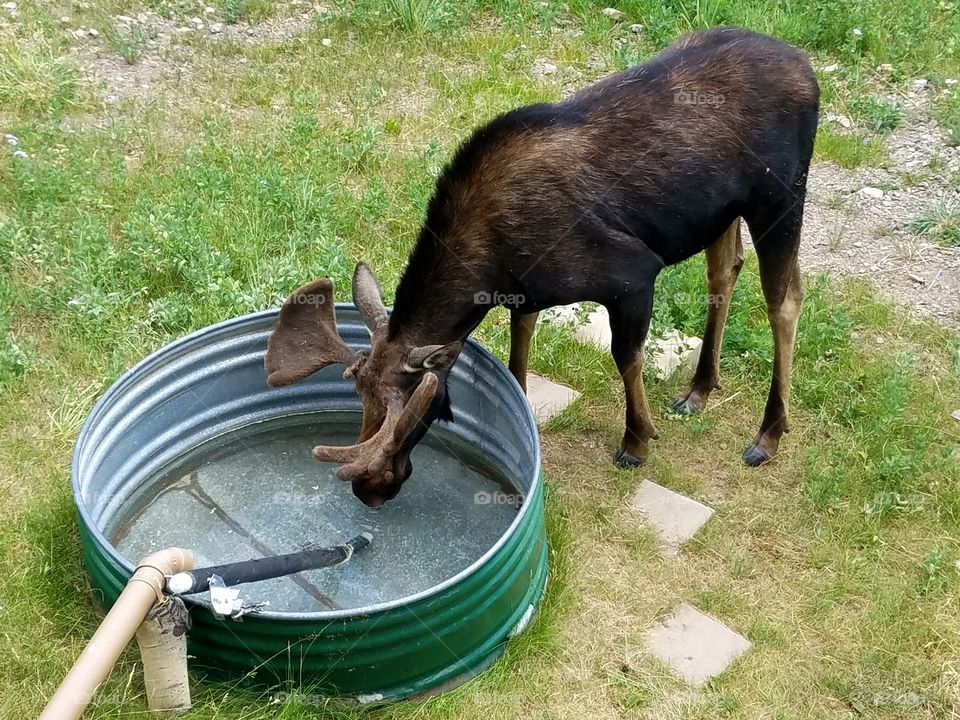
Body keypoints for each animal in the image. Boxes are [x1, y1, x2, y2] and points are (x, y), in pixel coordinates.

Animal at [262, 26, 816, 506]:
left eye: (407, 418)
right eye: (359, 402)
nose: (369, 489)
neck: (488, 270)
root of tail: (806, 65)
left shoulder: (633, 273)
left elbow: (626, 357)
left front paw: (637, 440)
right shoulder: (526, 293)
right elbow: (518, 350)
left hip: (780, 196)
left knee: (786, 299)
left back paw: (768, 434)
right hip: (723, 211)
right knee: (725, 272)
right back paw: (700, 389)